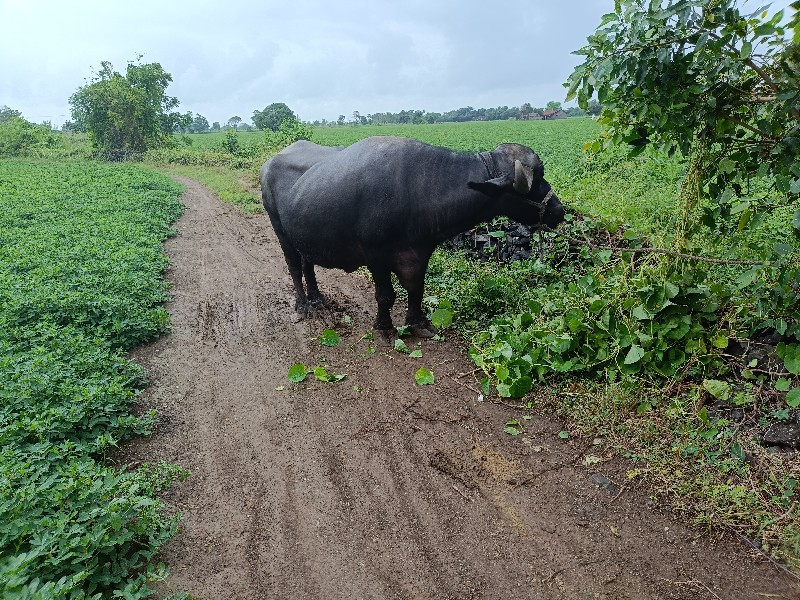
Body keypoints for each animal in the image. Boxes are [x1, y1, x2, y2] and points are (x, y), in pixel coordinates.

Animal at [260, 137, 564, 342]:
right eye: (536, 181)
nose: (560, 210)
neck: (417, 189)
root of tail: (268, 165)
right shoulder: (375, 255)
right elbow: (386, 295)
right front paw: (384, 328)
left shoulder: (420, 250)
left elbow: (416, 287)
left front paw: (418, 323)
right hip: (280, 230)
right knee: (294, 267)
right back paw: (302, 305)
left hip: (304, 236)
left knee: (308, 264)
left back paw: (317, 298)